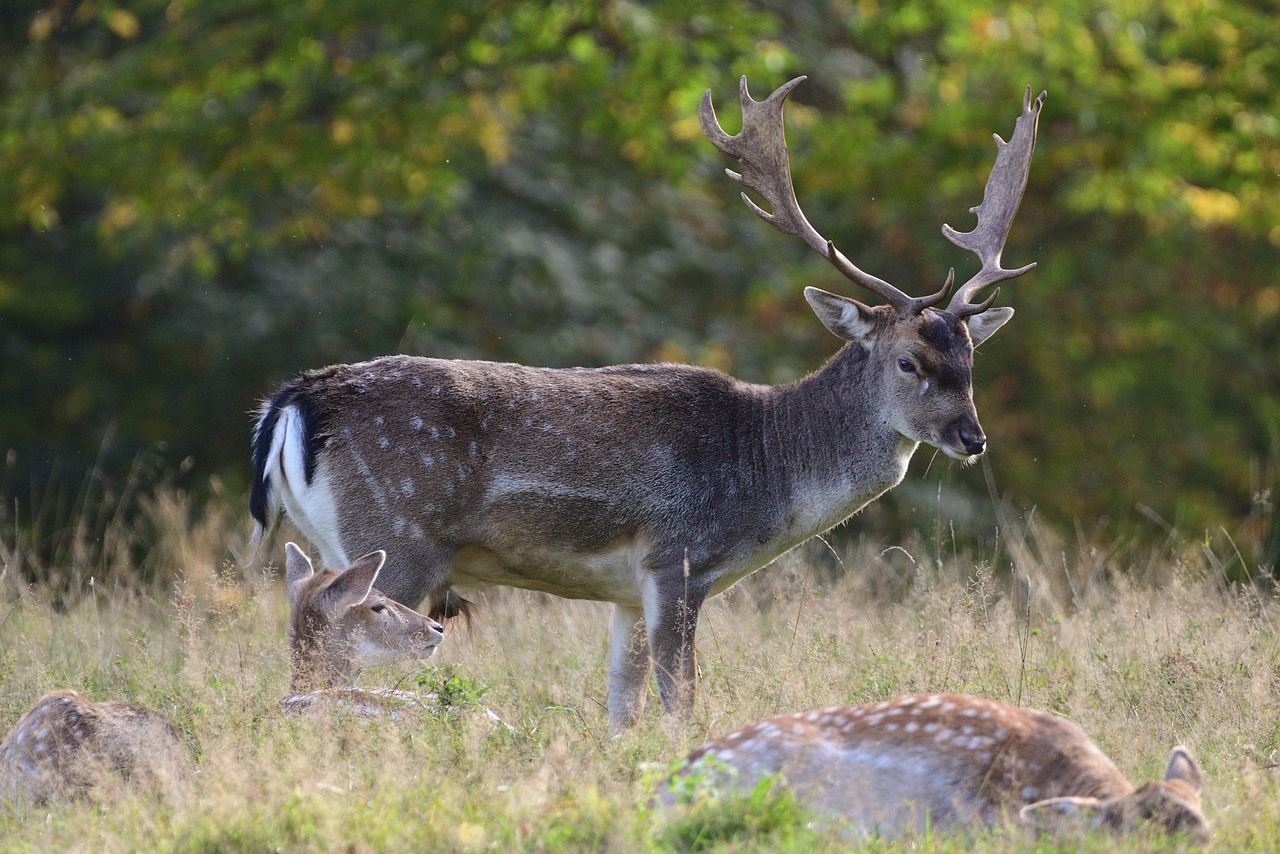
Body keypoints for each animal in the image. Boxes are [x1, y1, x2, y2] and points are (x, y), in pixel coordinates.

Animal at [250, 76, 1045, 731]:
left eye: (970, 362)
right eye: (909, 361)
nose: (972, 438)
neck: (767, 469)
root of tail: (293, 399)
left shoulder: (627, 593)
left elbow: (622, 708)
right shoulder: (676, 559)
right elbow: (679, 702)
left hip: (325, 542)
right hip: (397, 534)